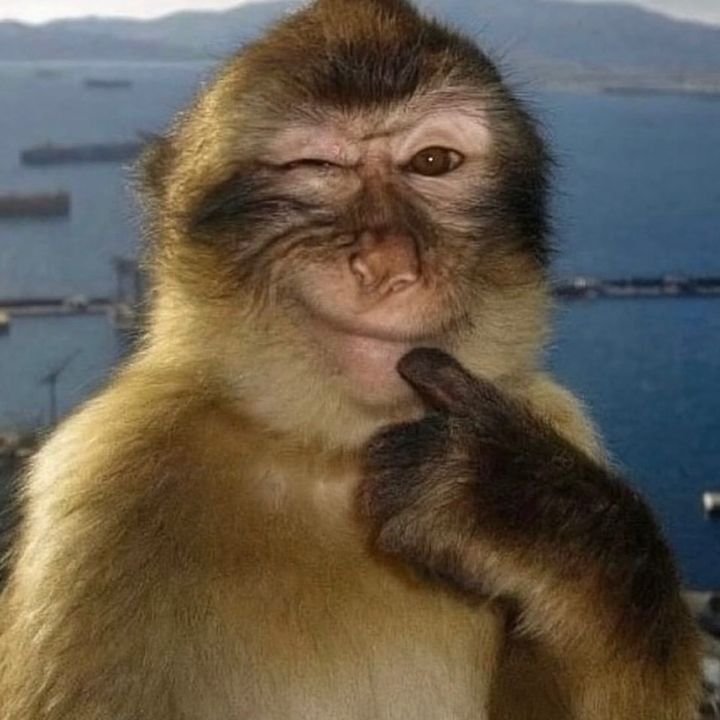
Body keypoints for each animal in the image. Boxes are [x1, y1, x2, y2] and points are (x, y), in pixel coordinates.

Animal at [0, 0, 702, 718]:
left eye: (434, 160)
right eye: (317, 164)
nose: (387, 262)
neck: (335, 451)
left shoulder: (553, 418)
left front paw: (523, 508)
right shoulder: (102, 488)